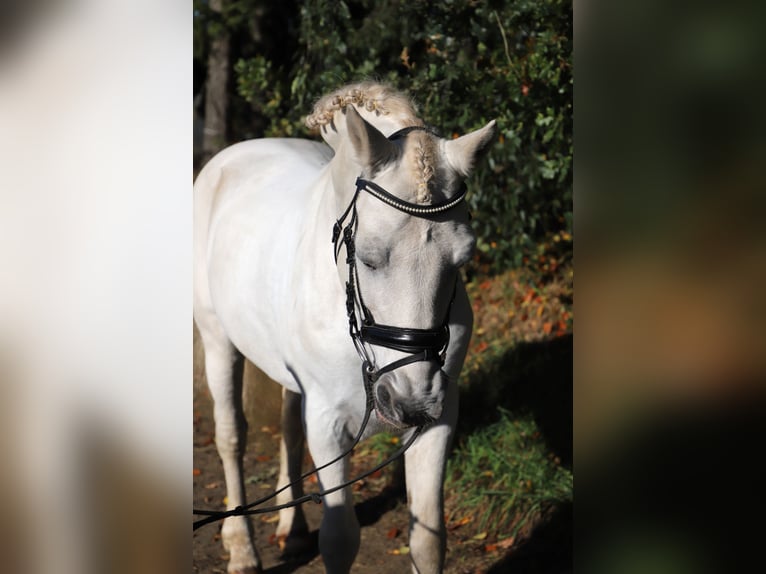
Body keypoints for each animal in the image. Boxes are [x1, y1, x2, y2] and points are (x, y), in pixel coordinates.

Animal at [193, 82, 496, 574]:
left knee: (287, 430)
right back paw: (241, 548)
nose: (411, 400)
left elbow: (428, 539)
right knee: (231, 435)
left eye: (462, 259)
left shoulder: (439, 418)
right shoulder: (328, 422)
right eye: (369, 258)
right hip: (218, 339)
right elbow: (339, 540)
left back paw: (293, 530)